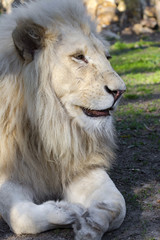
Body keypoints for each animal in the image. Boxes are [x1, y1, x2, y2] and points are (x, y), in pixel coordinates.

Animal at [0, 0, 126, 240]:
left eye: (107, 57)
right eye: (79, 57)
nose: (120, 91)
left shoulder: (81, 167)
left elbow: (118, 205)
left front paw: (91, 224)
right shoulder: (10, 173)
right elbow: (21, 218)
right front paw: (67, 210)